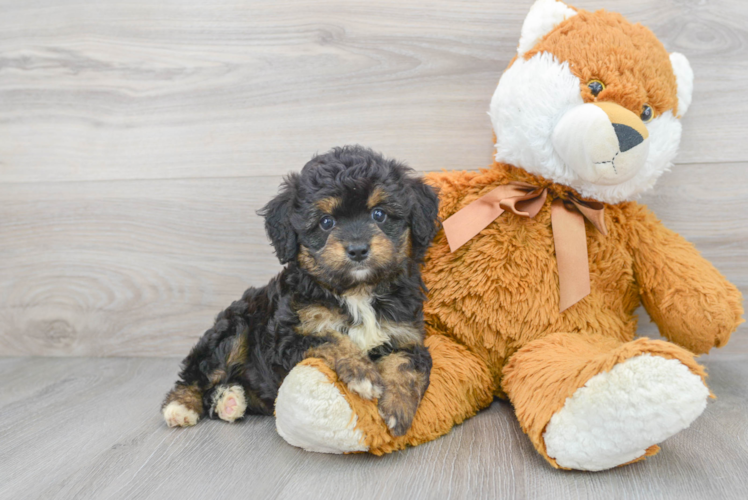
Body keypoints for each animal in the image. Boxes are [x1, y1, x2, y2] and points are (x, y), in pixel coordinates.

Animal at [160, 146, 436, 438]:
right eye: (326, 222)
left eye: (379, 214)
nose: (358, 249)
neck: (357, 291)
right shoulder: (288, 338)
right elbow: (333, 339)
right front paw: (362, 373)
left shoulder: (406, 335)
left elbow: (405, 364)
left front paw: (398, 408)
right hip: (233, 329)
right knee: (199, 372)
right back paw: (180, 406)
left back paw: (230, 401)